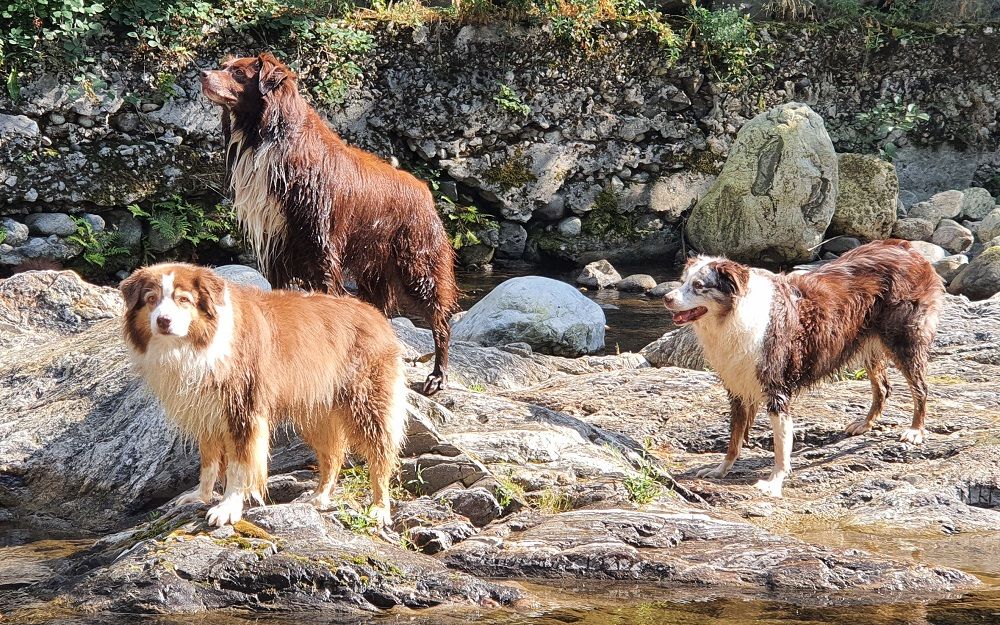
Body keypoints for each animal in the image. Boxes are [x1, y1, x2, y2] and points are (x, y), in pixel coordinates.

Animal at [120, 260, 406, 524]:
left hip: (366, 402)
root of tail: (375, 314)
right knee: (332, 455)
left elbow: (239, 466)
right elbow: (209, 461)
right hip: (316, 411)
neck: (199, 344)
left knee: (380, 453)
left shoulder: (243, 410)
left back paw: (380, 508)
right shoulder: (206, 411)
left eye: (184, 300)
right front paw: (200, 496)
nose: (163, 321)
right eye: (151, 299)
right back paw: (320, 496)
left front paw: (227, 508)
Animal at [201, 53, 458, 394]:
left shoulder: (319, 242)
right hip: (375, 270)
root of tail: (425, 191)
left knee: (439, 316)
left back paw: (438, 376)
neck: (268, 138)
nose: (203, 74)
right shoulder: (276, 244)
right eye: (224, 66)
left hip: (416, 260)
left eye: (239, 73)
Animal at [664, 240, 944, 498]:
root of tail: (907, 248)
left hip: (904, 340)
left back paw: (916, 430)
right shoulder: (737, 385)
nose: (666, 298)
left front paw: (774, 482)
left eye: (699, 286)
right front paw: (721, 470)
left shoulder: (776, 389)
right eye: (682, 281)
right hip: (866, 341)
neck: (732, 316)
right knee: (883, 387)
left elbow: (780, 445)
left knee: (921, 388)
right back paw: (865, 423)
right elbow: (734, 438)